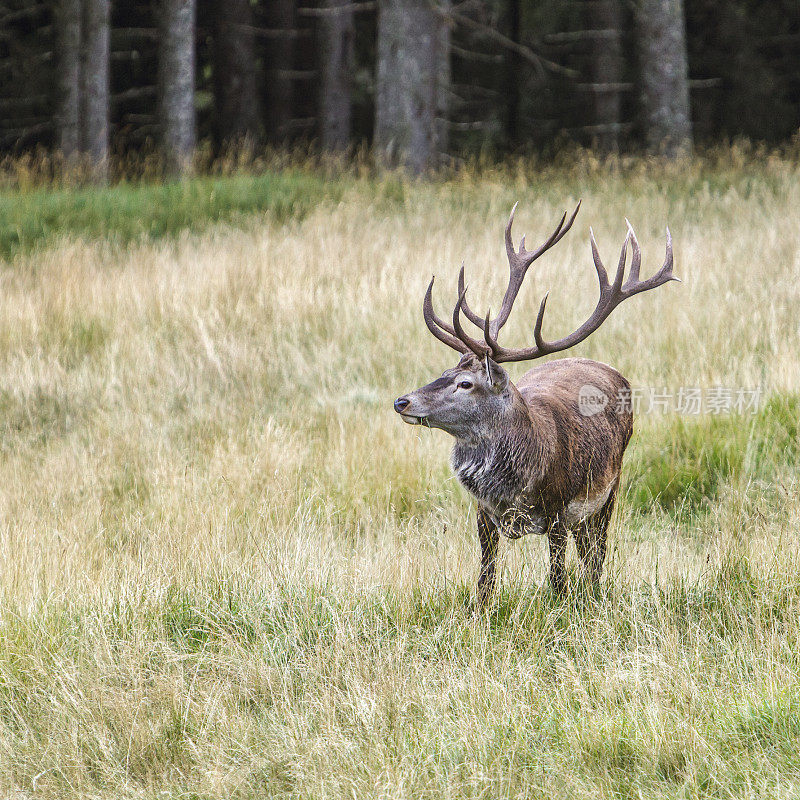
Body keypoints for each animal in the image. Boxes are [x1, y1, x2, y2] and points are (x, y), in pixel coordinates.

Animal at [392, 203, 676, 604]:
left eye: (466, 383)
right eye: (445, 371)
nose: (402, 401)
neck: (516, 483)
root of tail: (611, 370)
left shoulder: (558, 508)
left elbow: (557, 579)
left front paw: (561, 610)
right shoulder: (483, 512)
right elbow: (486, 578)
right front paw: (482, 610)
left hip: (610, 488)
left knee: (598, 553)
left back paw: (594, 594)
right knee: (588, 552)